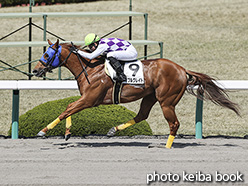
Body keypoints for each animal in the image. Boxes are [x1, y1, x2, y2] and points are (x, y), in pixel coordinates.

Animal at [33, 40, 240, 149]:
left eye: (46, 55)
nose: (35, 71)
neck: (91, 68)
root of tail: (182, 69)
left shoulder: (90, 99)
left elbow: (67, 109)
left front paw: (43, 131)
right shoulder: (86, 99)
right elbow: (69, 109)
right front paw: (67, 133)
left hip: (167, 101)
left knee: (174, 123)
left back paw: (167, 146)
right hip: (150, 96)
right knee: (142, 115)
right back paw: (113, 130)